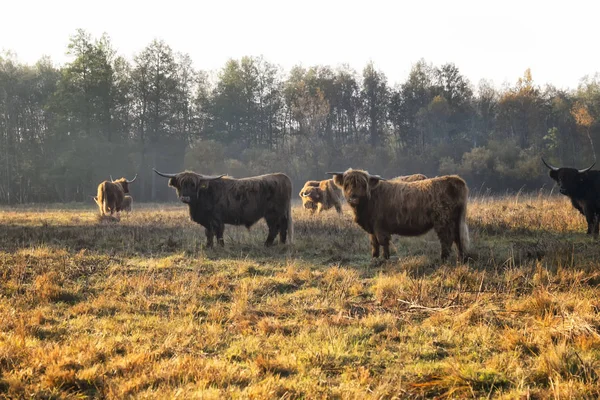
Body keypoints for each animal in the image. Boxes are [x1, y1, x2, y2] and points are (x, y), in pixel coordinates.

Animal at [328, 170, 468, 260]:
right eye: (346, 184)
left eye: (363, 184)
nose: (353, 198)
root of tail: (454, 179)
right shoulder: (372, 227)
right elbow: (374, 242)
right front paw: (374, 257)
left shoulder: (380, 226)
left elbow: (382, 242)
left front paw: (385, 258)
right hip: (455, 221)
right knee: (458, 239)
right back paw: (460, 258)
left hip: (443, 221)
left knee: (447, 239)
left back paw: (443, 258)